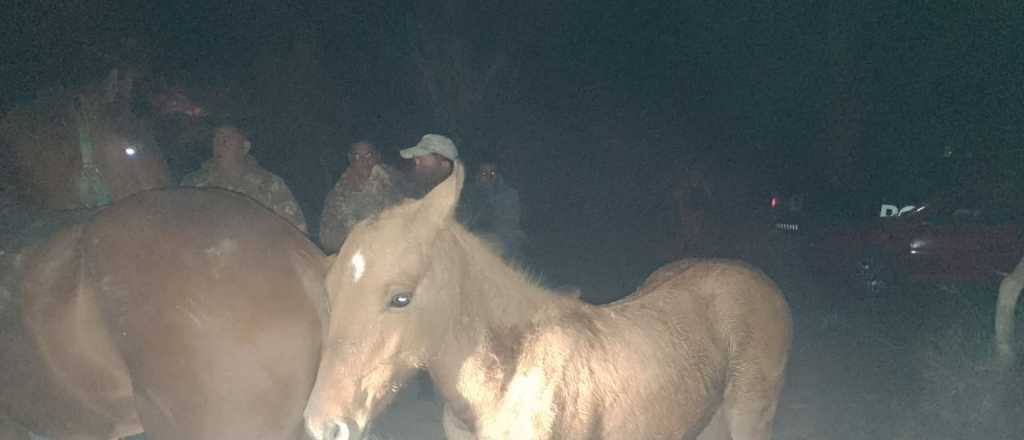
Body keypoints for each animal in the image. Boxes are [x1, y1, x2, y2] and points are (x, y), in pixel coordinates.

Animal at [303, 162, 793, 440]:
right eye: (330, 293)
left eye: (401, 298)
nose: (324, 425)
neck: (506, 379)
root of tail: (759, 280)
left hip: (750, 416)